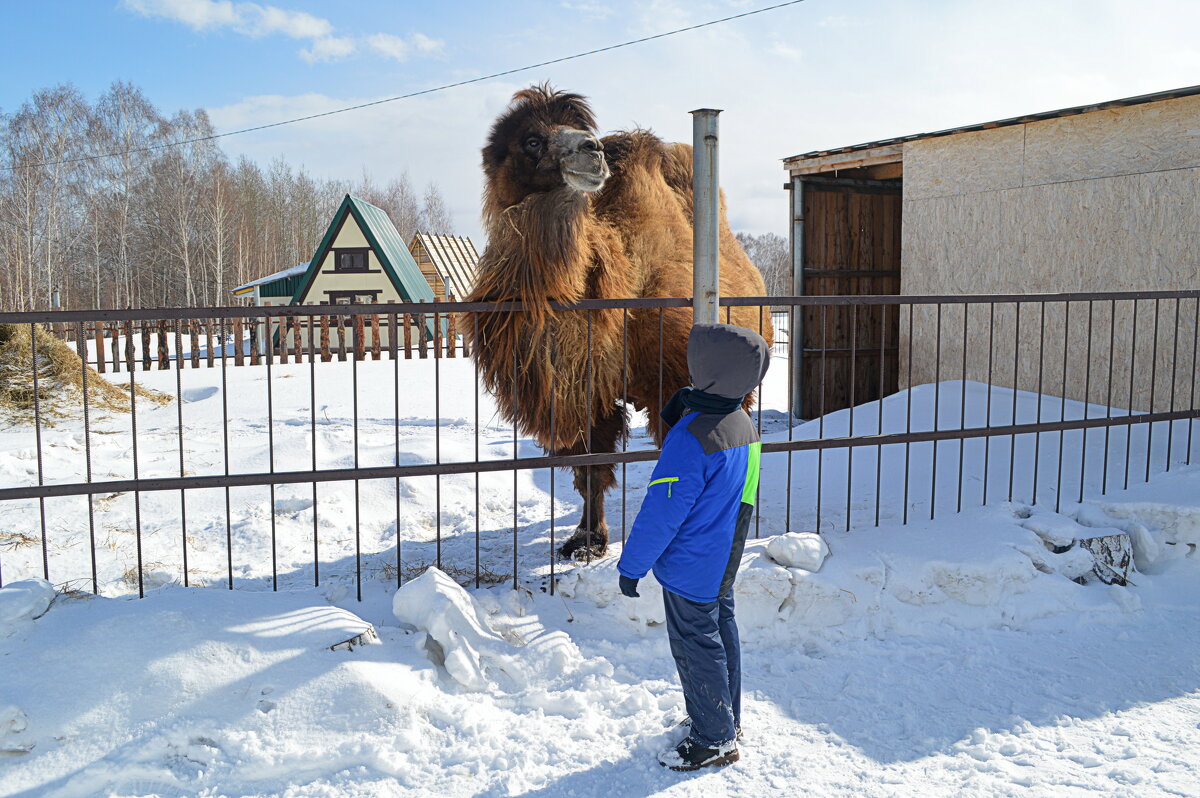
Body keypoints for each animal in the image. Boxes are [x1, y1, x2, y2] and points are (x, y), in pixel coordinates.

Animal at [463, 85, 772, 559]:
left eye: (582, 130)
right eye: (531, 140)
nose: (592, 150)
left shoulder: (673, 382)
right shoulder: (585, 392)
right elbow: (591, 469)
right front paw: (586, 540)